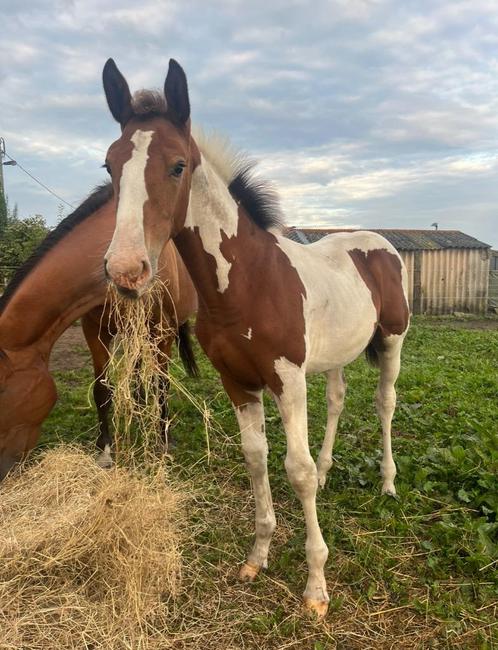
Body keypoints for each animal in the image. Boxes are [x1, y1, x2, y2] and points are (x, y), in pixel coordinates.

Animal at [0, 182, 198, 476]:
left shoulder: (163, 330)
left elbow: (161, 384)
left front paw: (164, 440)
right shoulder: (95, 329)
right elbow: (102, 389)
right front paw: (105, 450)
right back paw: (138, 401)